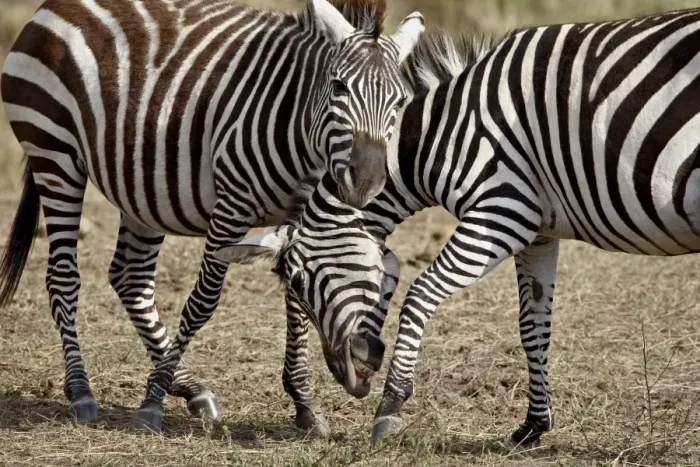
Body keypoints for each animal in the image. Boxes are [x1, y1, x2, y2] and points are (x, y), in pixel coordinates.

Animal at [0, 0, 425, 432]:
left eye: (400, 101)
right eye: (338, 87)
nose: (366, 180)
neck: (299, 127)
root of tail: (53, 6)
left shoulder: (296, 218)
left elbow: (295, 302)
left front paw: (304, 402)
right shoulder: (232, 205)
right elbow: (204, 301)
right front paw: (152, 403)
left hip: (142, 183)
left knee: (131, 277)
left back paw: (189, 387)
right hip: (54, 153)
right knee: (62, 277)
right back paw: (82, 390)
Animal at [219, 7, 700, 446]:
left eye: (300, 281)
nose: (349, 378)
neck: (446, 134)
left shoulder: (503, 212)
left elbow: (419, 294)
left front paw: (390, 406)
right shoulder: (539, 232)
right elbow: (533, 327)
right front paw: (532, 427)